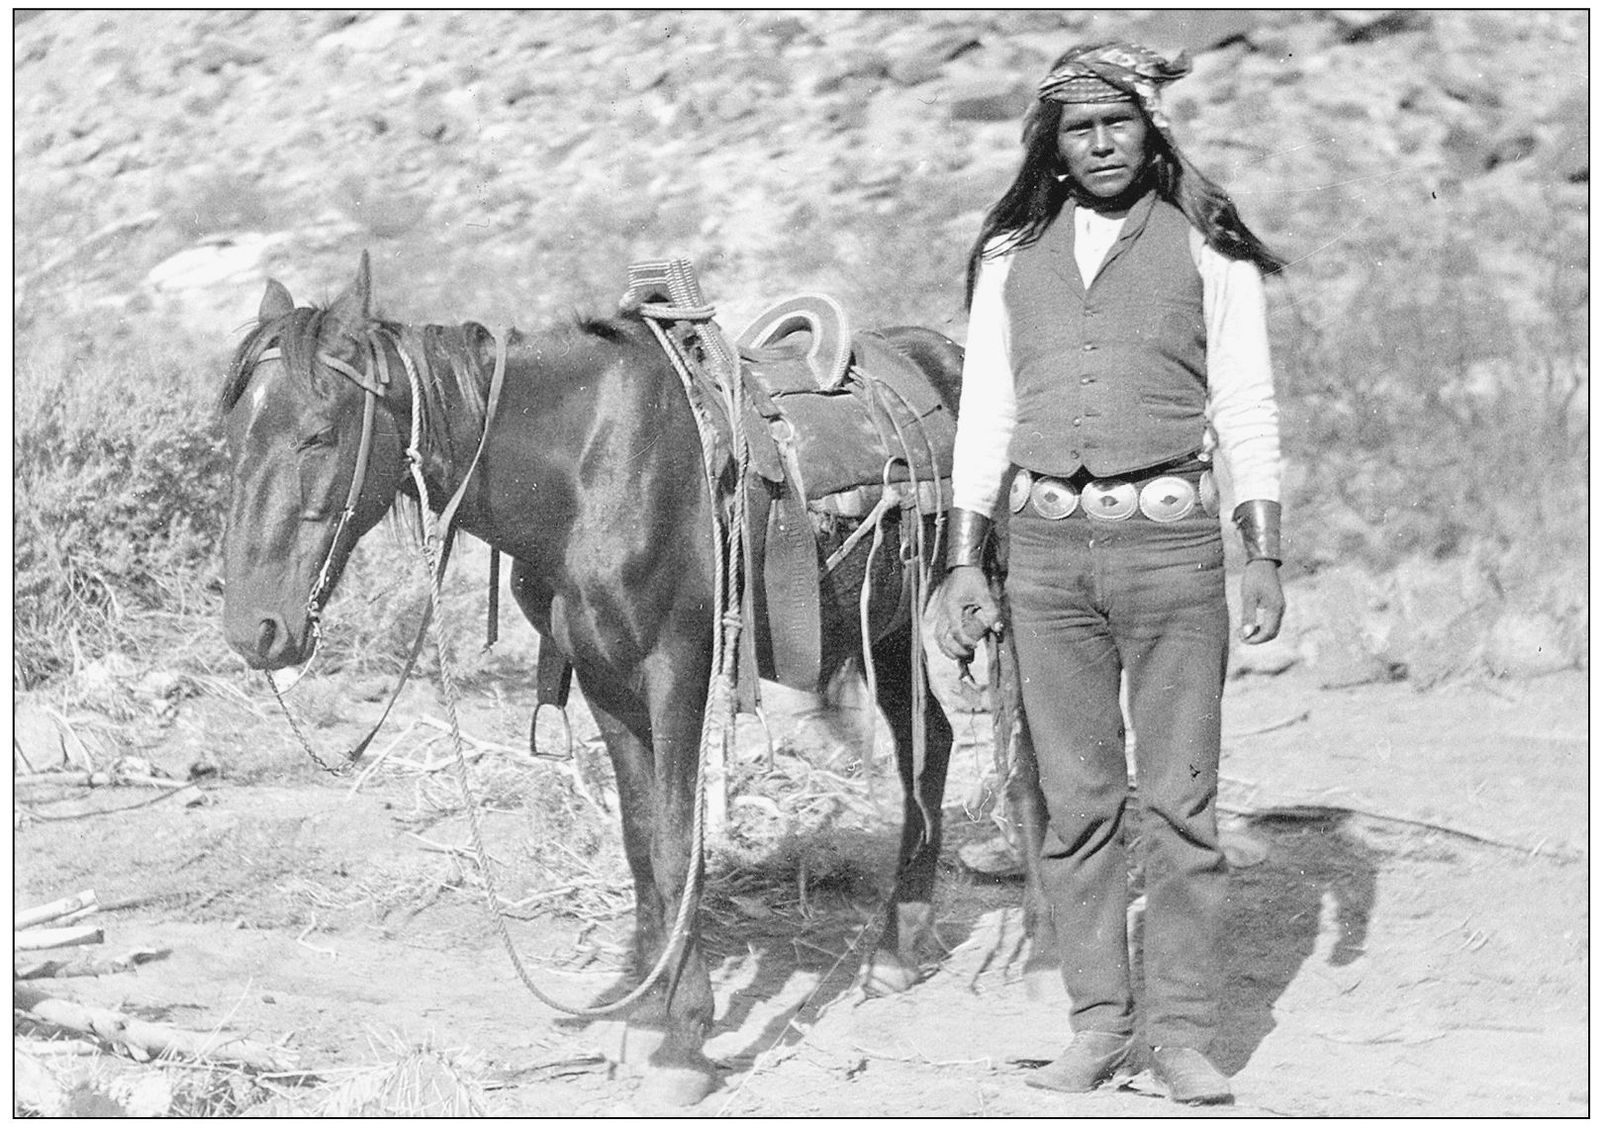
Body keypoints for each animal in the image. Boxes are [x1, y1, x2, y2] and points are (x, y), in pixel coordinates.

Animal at [220, 254, 958, 1106]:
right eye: (235, 436)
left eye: (320, 433)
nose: (254, 629)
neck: (585, 470)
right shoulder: (607, 683)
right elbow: (639, 844)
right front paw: (640, 1017)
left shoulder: (677, 674)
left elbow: (676, 845)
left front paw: (682, 1042)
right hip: (889, 626)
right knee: (930, 740)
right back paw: (901, 946)